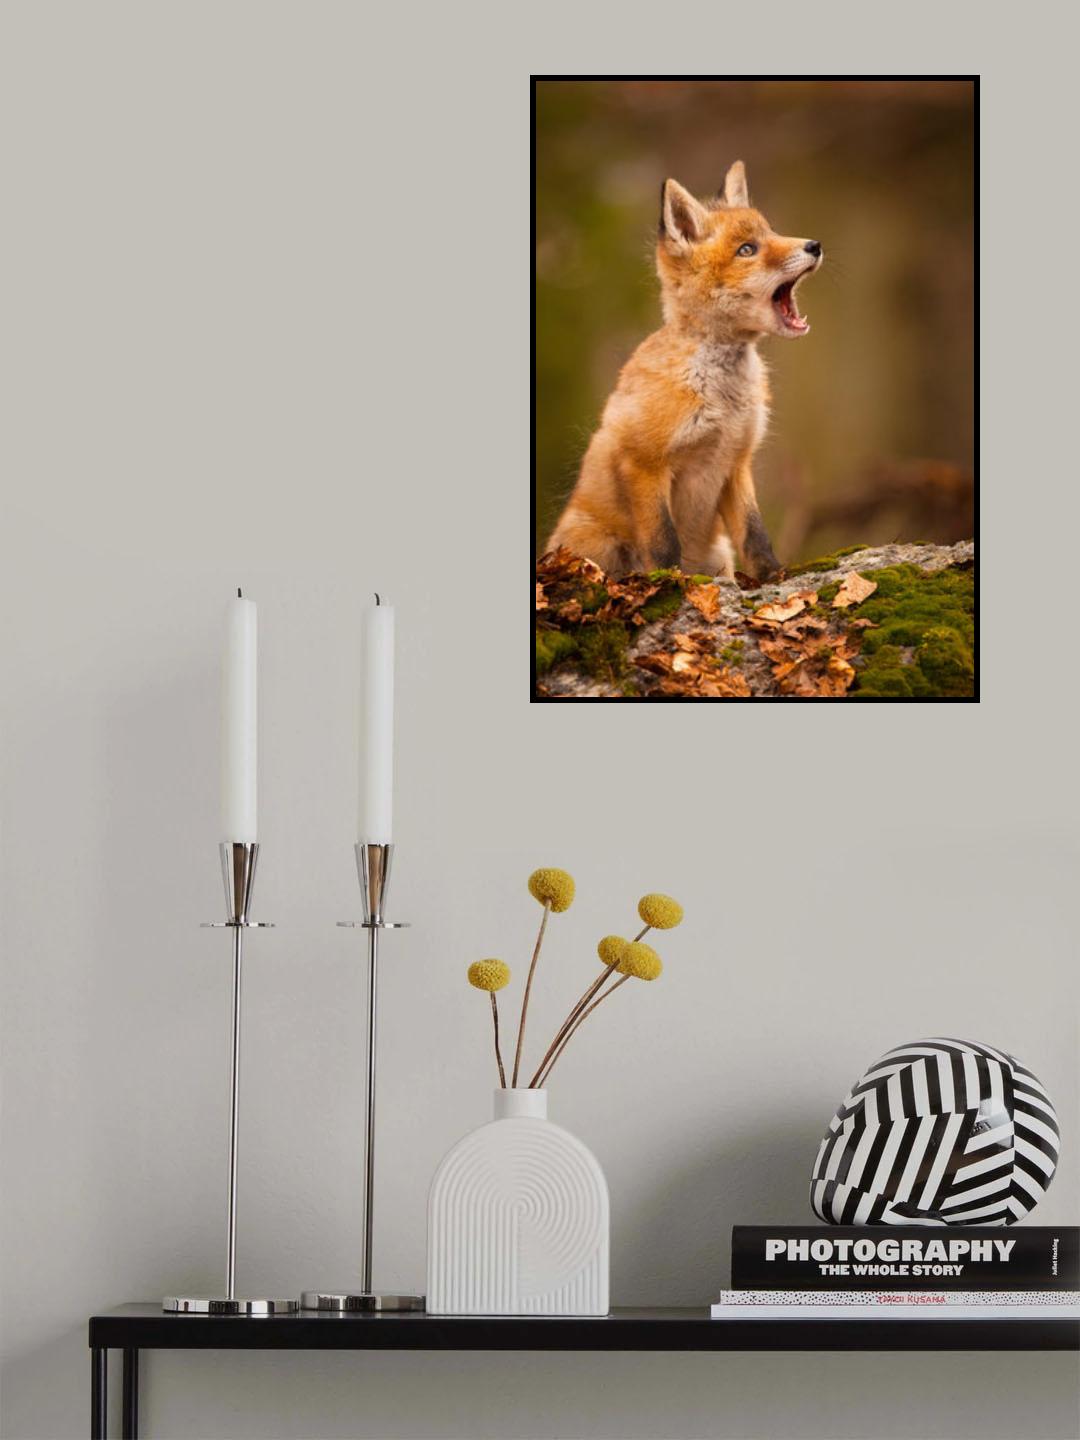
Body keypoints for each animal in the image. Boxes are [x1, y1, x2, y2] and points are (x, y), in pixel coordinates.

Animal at [547, 161, 822, 580]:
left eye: (772, 232)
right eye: (747, 249)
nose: (814, 245)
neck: (722, 398)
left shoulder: (737, 462)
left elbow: (755, 534)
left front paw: (773, 576)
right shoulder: (644, 464)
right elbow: (663, 542)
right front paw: (671, 584)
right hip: (597, 544)